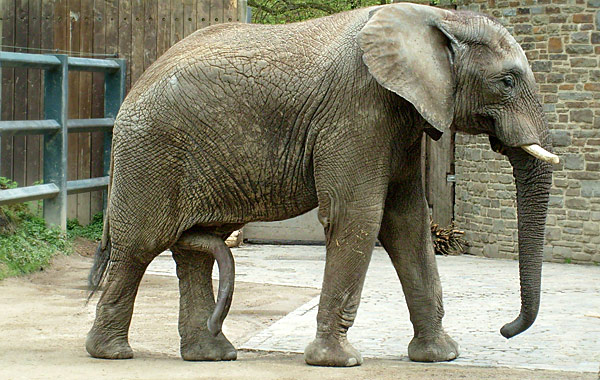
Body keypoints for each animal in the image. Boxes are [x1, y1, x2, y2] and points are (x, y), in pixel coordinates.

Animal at [84, 1, 556, 366]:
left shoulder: (401, 118)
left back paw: (211, 354)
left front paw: (441, 357)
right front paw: (338, 361)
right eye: (507, 81)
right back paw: (112, 354)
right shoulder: (358, 107)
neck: (440, 16)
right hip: (151, 155)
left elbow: (407, 221)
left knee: (195, 249)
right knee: (138, 247)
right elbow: (359, 214)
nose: (506, 329)